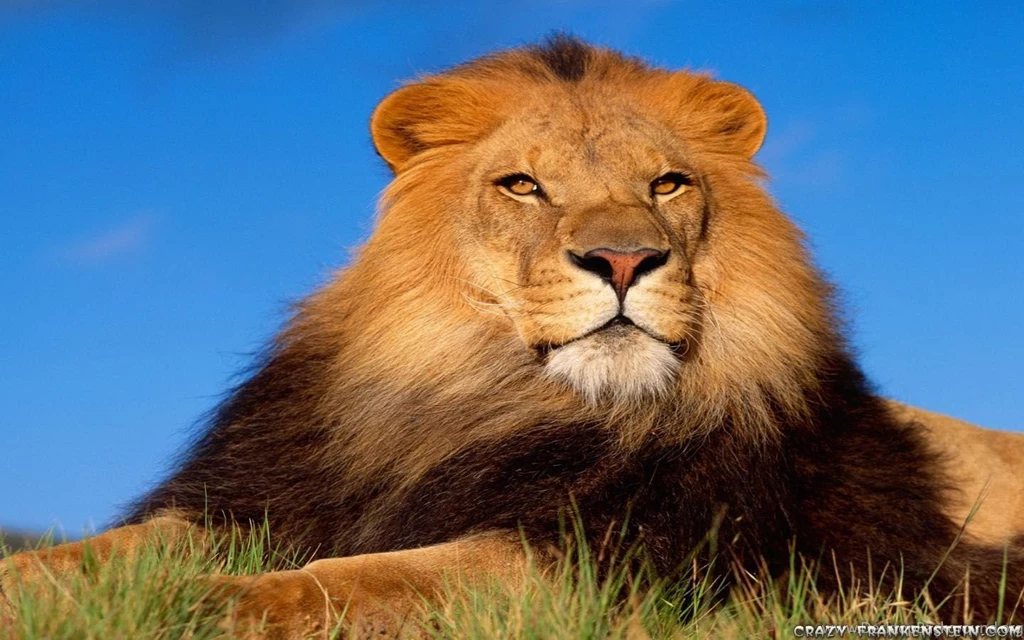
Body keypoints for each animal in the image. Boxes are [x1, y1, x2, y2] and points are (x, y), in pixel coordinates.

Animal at [3, 36, 1023, 637]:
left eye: (668, 184)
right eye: (523, 186)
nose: (624, 259)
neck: (481, 397)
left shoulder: (607, 560)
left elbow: (354, 582)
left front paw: (202, 606)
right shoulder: (256, 500)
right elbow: (103, 552)